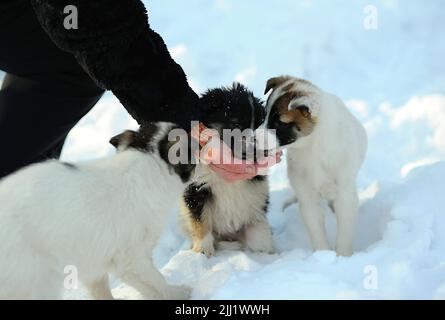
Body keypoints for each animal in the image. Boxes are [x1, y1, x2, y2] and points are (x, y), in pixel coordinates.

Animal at [180, 83, 274, 258]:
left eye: (257, 127)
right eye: (236, 124)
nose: (256, 150)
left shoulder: (256, 199)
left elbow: (259, 231)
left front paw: (265, 255)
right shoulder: (196, 190)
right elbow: (200, 222)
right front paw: (203, 252)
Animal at [258, 74, 366, 255]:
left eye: (280, 122)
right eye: (265, 116)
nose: (250, 140)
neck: (312, 147)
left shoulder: (345, 194)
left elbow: (345, 231)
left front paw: (342, 256)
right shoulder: (307, 197)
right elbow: (316, 229)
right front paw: (324, 254)